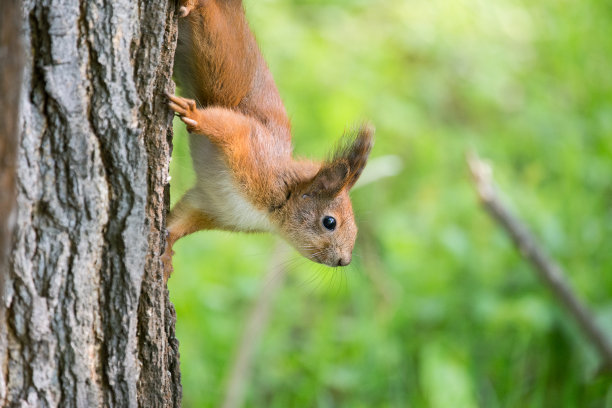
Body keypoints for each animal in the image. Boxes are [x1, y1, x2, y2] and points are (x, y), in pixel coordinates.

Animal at [163, 0, 372, 278]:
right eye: (330, 222)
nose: (344, 261)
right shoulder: (251, 149)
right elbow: (227, 125)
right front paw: (193, 114)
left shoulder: (211, 206)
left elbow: (177, 224)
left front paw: (165, 255)